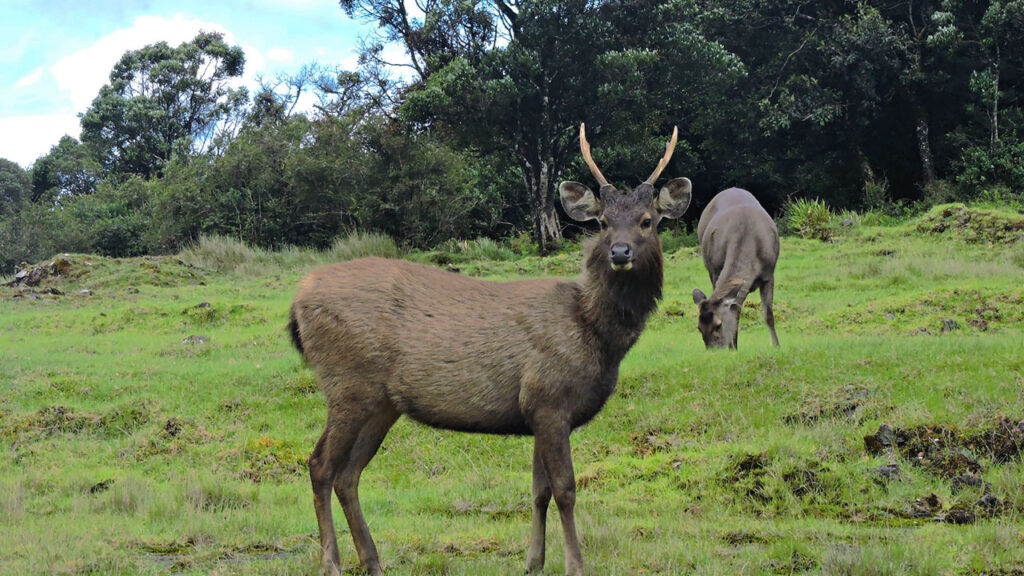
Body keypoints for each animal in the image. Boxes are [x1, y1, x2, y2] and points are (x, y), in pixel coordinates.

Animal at [284, 123, 692, 569]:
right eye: (602, 222)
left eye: (647, 220)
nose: (620, 252)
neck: (594, 334)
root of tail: (298, 302)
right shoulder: (549, 399)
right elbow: (565, 489)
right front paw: (575, 565)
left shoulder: (536, 411)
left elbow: (539, 491)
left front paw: (533, 562)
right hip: (346, 384)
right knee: (320, 464)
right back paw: (332, 562)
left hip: (381, 402)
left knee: (348, 473)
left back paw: (372, 561)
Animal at [692, 188, 778, 348]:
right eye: (699, 328)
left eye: (718, 325)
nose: (713, 350)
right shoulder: (716, 271)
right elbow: (736, 313)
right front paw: (734, 347)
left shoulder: (769, 274)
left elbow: (768, 314)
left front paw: (777, 346)